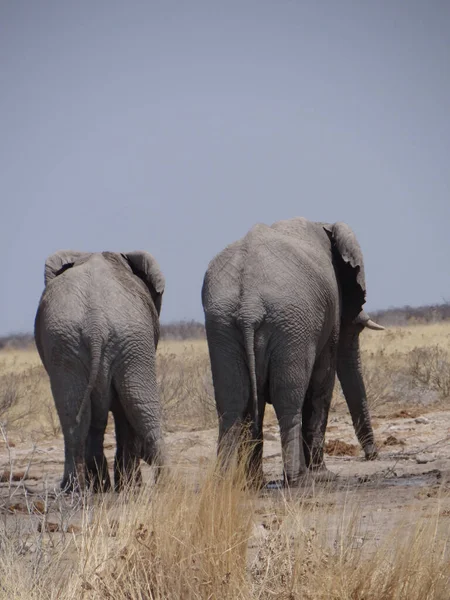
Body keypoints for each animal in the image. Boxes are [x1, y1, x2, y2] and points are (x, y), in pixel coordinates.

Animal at [34, 250, 165, 492]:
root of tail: (95, 325)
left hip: (74, 342)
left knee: (77, 415)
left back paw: (79, 489)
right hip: (128, 341)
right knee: (136, 406)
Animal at [202, 217, 384, 488]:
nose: (373, 455)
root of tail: (249, 305)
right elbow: (322, 383)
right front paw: (323, 475)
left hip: (221, 325)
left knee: (232, 402)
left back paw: (231, 483)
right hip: (291, 324)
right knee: (288, 400)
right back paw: (299, 479)